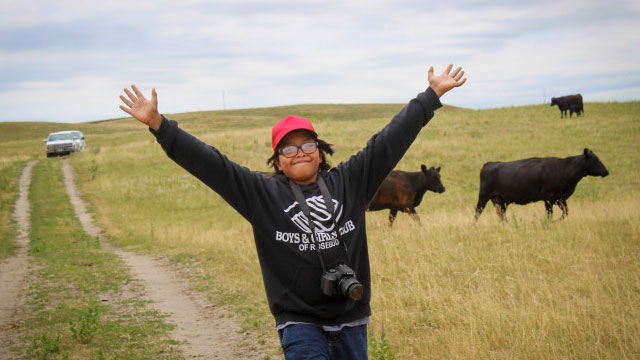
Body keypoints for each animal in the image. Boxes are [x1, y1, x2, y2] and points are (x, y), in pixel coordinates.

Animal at [476, 149, 608, 222]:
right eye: (595, 159)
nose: (606, 171)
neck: (564, 169)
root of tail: (489, 163)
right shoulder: (548, 198)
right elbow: (550, 214)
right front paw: (549, 222)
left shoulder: (560, 198)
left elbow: (565, 213)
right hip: (483, 196)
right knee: (478, 211)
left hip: (499, 200)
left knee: (501, 215)